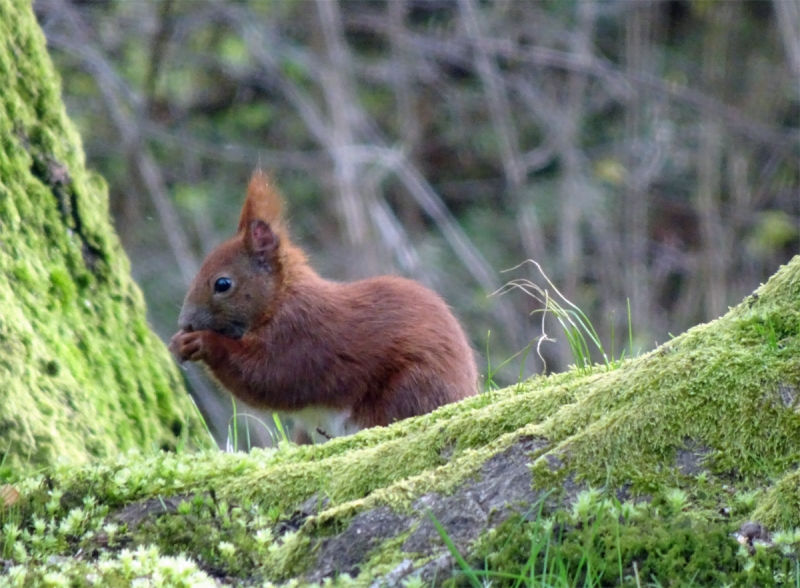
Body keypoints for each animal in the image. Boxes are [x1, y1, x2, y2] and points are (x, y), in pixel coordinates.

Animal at [168, 171, 476, 440]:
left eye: (222, 284)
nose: (185, 323)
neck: (280, 299)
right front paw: (177, 342)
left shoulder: (301, 335)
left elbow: (269, 377)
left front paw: (202, 342)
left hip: (411, 387)